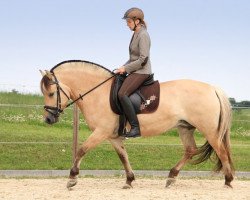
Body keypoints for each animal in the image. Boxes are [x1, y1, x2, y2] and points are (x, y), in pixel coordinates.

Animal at [39, 59, 234, 189]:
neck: (98, 92)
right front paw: (129, 180)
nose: (48, 119)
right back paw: (171, 177)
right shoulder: (113, 137)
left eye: (51, 93)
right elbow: (123, 156)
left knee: (222, 151)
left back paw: (228, 181)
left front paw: (72, 178)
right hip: (184, 127)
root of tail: (212, 88)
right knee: (190, 150)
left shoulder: (101, 132)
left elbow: (81, 150)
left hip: (209, 130)